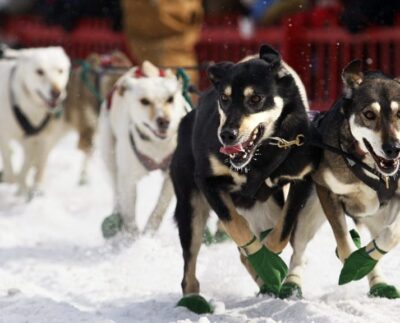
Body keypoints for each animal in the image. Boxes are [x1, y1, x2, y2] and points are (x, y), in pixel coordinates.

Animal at [0, 45, 70, 197]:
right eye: (40, 71)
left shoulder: (40, 139)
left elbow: (31, 164)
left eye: (60, 70)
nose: (56, 93)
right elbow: (9, 160)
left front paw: (30, 187)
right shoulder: (4, 136)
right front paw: (13, 179)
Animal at [98, 60, 189, 238]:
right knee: (116, 190)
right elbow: (129, 215)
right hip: (109, 154)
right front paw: (133, 239)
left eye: (170, 98)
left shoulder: (171, 178)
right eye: (145, 101)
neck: (157, 145)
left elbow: (159, 209)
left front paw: (148, 233)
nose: (164, 121)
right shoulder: (128, 180)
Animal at [170, 45, 320, 306]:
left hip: (266, 208)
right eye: (224, 99)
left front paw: (269, 259)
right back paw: (192, 298)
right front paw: (264, 259)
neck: (259, 158)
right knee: (190, 263)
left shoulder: (301, 180)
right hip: (191, 209)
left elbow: (283, 230)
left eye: (255, 99)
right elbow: (237, 226)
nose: (226, 134)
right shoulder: (208, 182)